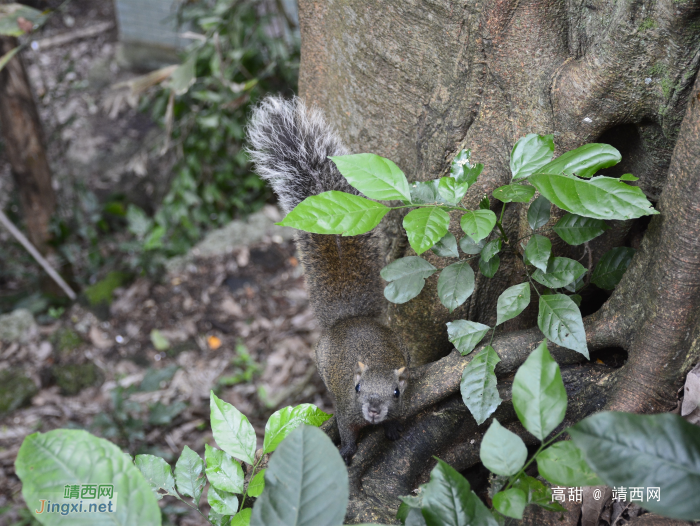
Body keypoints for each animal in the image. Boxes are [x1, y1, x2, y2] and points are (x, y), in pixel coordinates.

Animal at [247, 96, 408, 466]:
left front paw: (393, 429)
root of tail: (349, 318)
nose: (375, 410)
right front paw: (346, 451)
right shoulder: (346, 409)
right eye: (358, 388)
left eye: (395, 392)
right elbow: (347, 431)